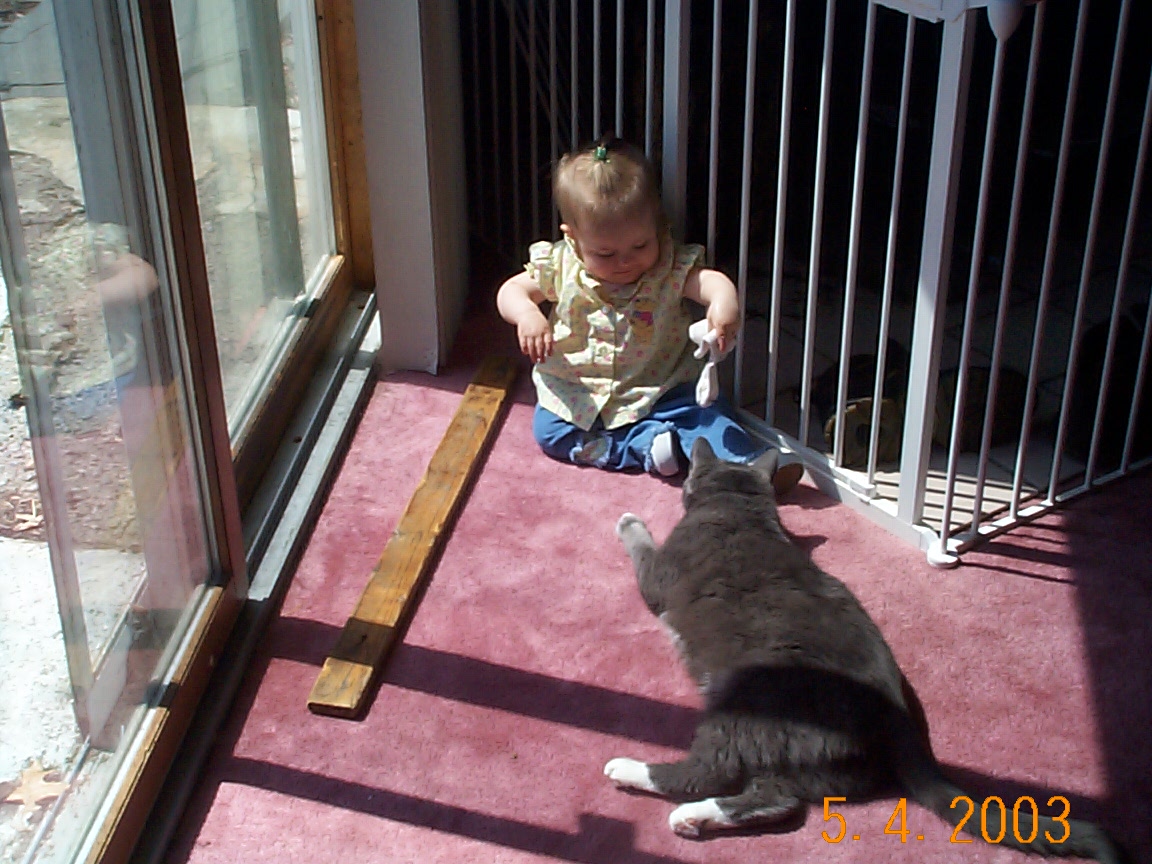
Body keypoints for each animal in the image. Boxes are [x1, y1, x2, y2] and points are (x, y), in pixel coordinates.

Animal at [604, 438, 1131, 863]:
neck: (738, 507)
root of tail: (896, 721)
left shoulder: (661, 575)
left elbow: (643, 552)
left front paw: (630, 520)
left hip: (744, 704)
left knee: (711, 770)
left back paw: (631, 772)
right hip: (800, 757)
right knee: (777, 799)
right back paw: (695, 817)